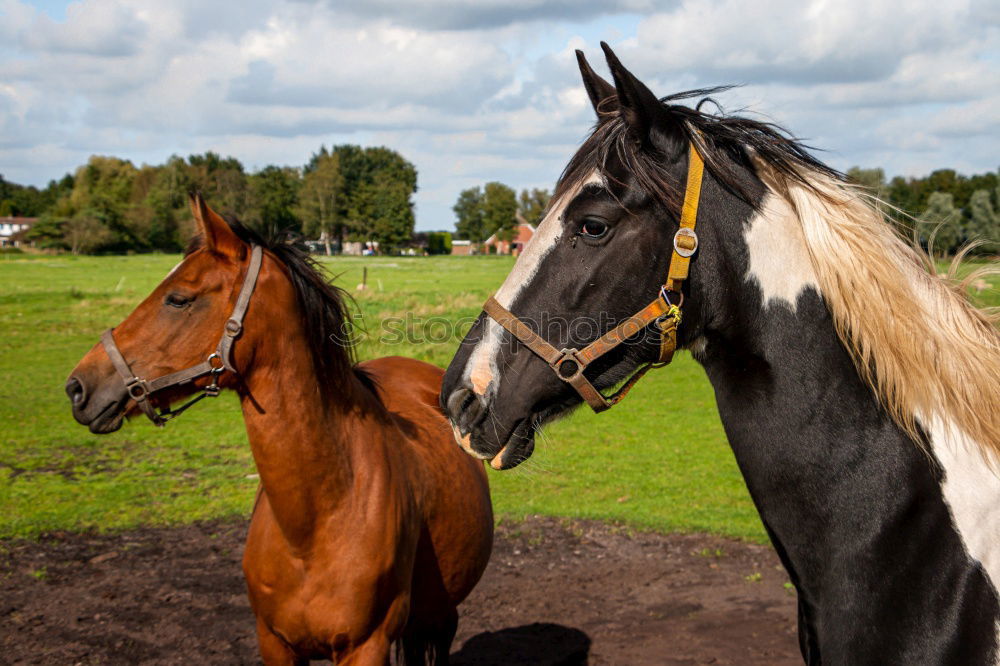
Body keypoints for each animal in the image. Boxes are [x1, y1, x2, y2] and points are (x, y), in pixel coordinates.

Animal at [64, 195, 494, 660]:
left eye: (178, 299)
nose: (78, 387)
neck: (314, 524)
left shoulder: (366, 647)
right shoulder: (274, 642)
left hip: (438, 617)